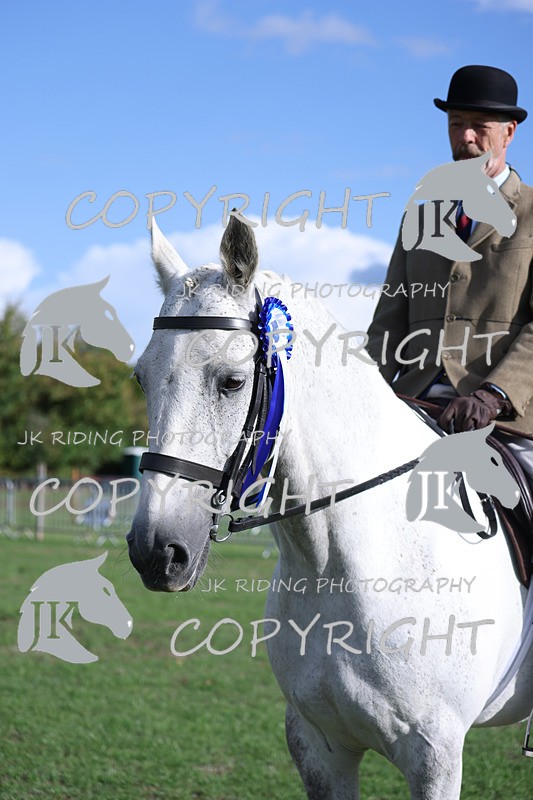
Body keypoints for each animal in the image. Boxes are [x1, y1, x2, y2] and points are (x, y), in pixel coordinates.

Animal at [127, 216, 533, 799]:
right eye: (141, 378)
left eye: (232, 381)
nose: (156, 551)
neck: (334, 564)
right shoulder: (318, 745)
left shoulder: (435, 756)